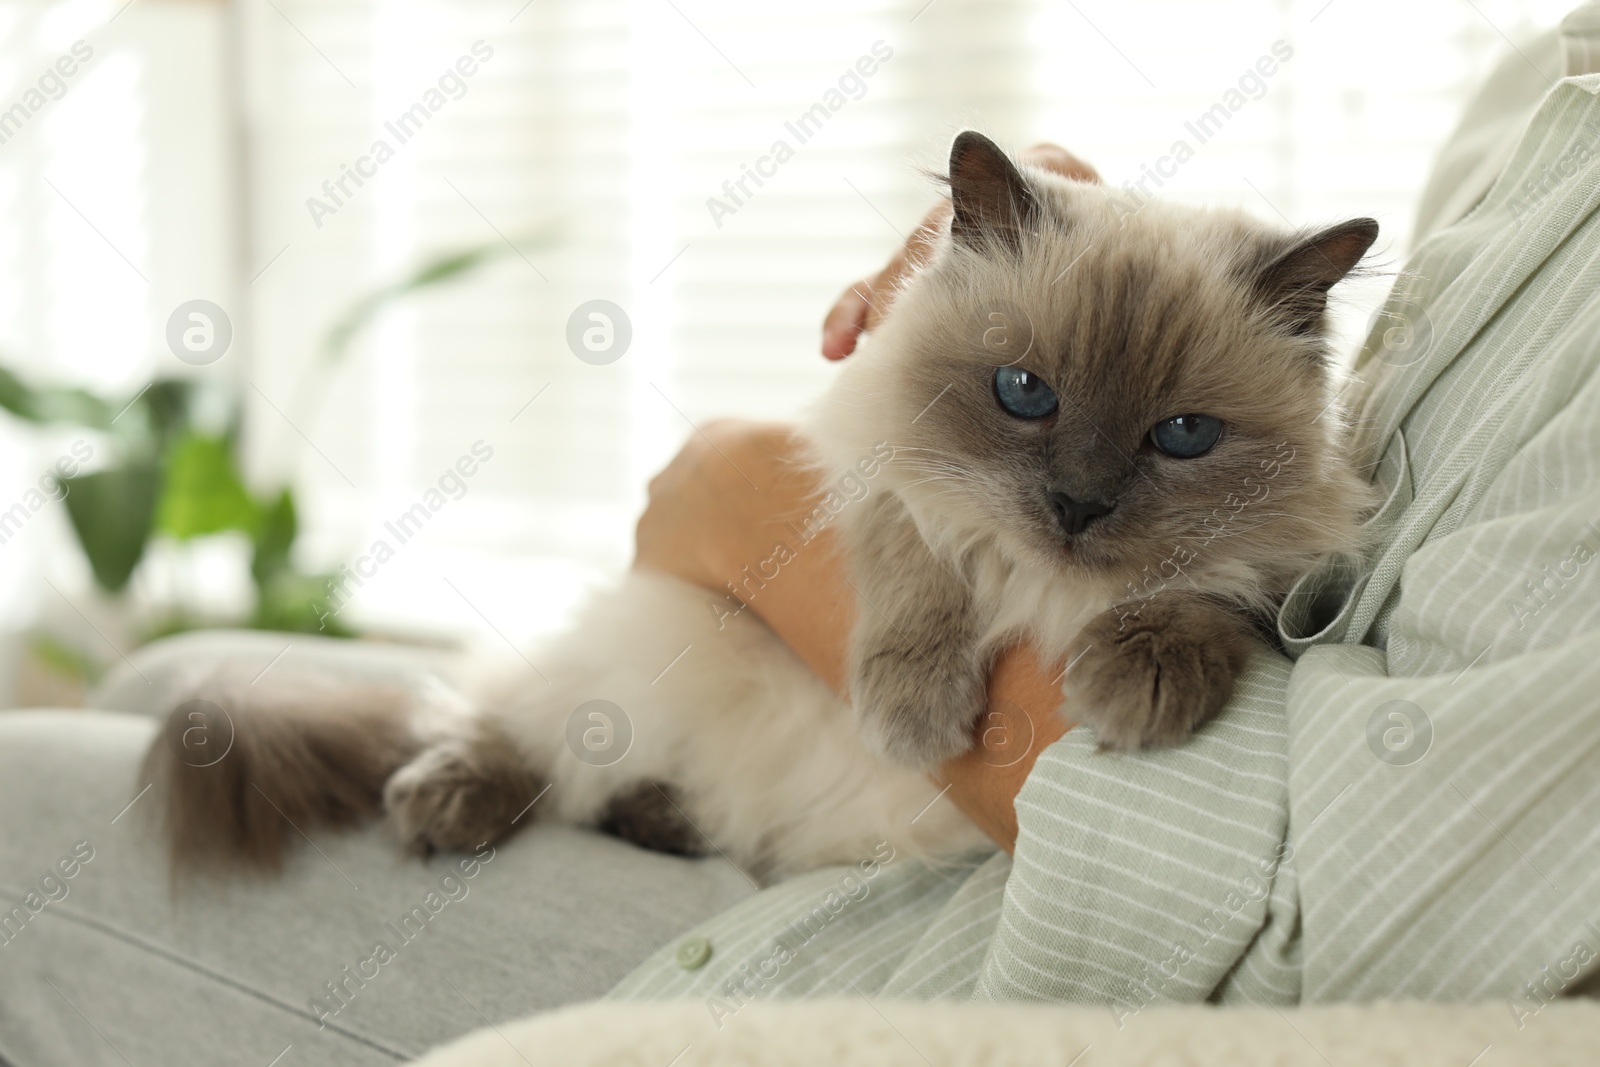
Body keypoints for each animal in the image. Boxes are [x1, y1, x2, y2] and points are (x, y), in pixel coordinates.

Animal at [144, 133, 1382, 883]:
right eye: (1024, 392)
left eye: (1182, 436)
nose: (1076, 505)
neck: (1041, 583)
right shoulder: (866, 468)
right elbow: (919, 552)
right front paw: (916, 711)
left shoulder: (1279, 574)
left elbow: (1209, 592)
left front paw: (1139, 679)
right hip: (645, 647)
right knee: (512, 720)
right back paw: (451, 801)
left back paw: (659, 818)